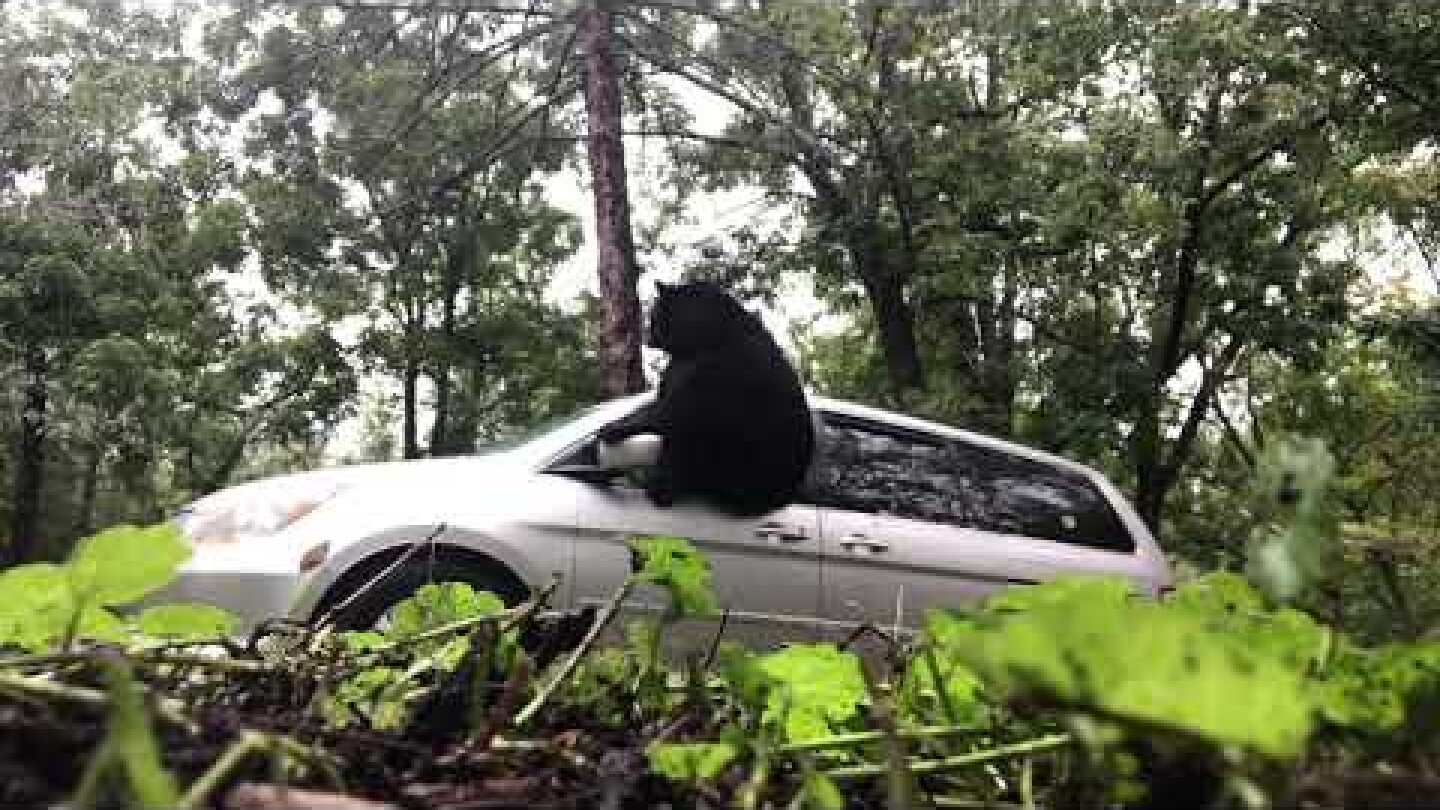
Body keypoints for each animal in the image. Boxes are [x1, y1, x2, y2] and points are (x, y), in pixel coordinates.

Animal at [597, 280, 815, 516]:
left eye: (655, 314)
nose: (647, 336)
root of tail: (777, 502)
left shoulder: (720, 375)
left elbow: (671, 411)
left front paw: (613, 428)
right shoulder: (676, 373)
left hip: (734, 462)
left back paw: (662, 488)